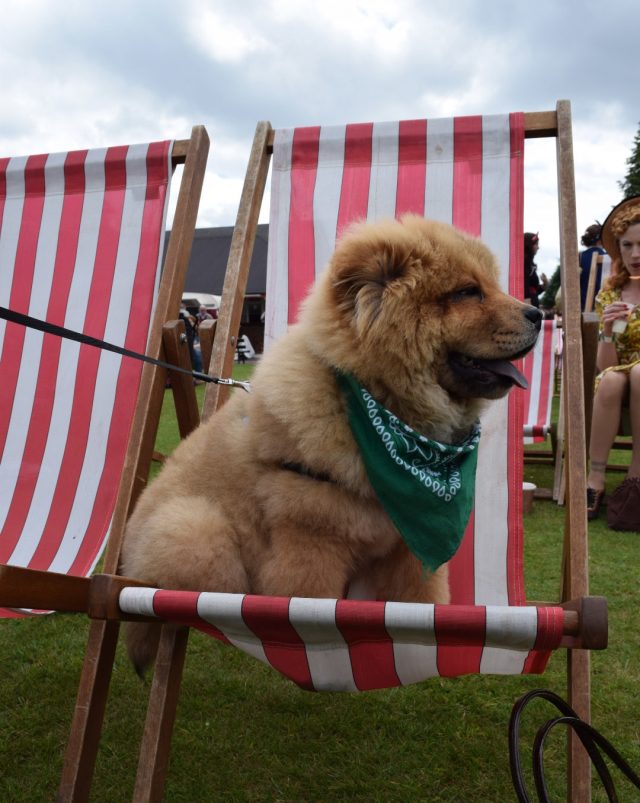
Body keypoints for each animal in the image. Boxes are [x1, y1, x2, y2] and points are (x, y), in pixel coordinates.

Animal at [121, 215, 540, 672]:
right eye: (467, 292)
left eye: (492, 286)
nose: (538, 313)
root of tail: (127, 561)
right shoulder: (311, 539)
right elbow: (311, 610)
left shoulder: (409, 548)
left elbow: (421, 600)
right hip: (198, 528)